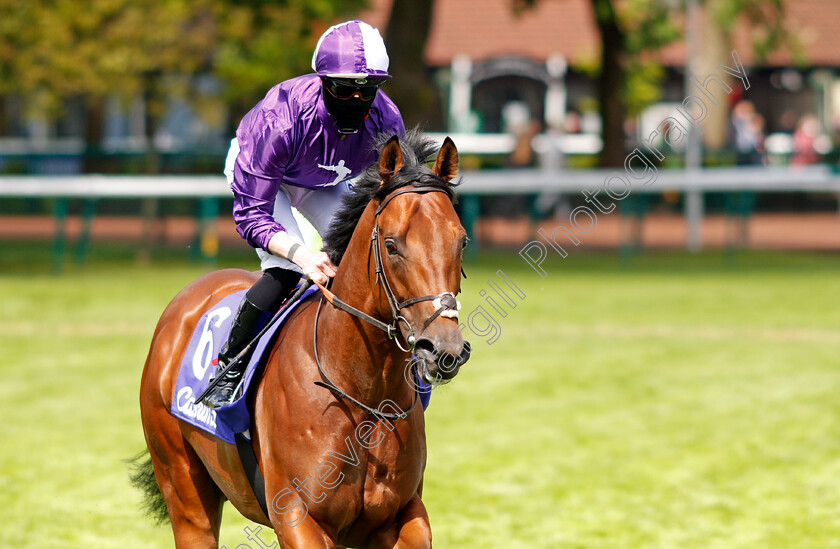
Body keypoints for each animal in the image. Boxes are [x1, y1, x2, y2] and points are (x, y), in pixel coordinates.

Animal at [132, 131, 472, 544]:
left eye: (462, 241)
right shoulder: (298, 517)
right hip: (183, 488)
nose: (444, 349)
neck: (362, 392)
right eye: (392, 245)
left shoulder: (402, 514)